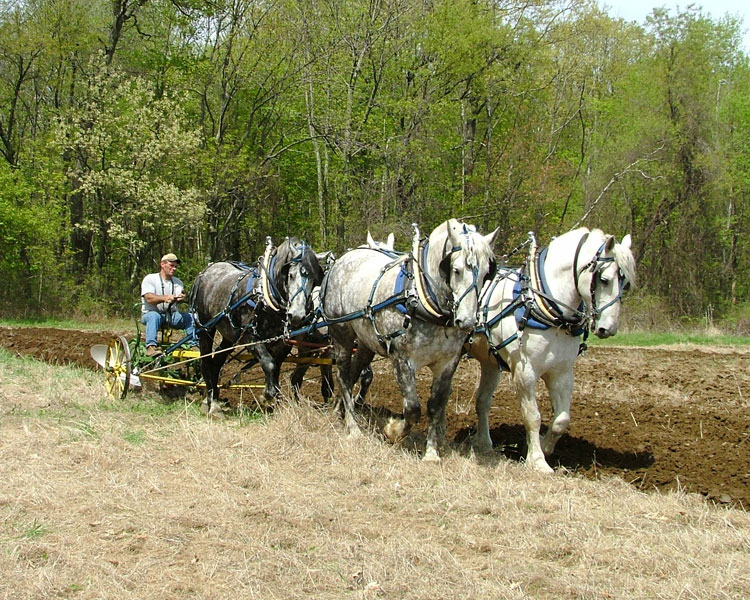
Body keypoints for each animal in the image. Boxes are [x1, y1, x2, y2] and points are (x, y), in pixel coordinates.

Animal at [189, 236, 324, 418]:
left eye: (313, 279)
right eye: (290, 275)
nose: (297, 315)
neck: (266, 298)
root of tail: (206, 271)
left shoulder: (282, 344)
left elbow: (275, 370)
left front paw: (274, 400)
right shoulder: (250, 338)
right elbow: (268, 363)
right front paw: (267, 396)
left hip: (230, 335)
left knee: (216, 362)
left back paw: (214, 400)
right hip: (204, 329)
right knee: (205, 363)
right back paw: (212, 405)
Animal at [322, 219, 500, 460]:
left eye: (485, 274)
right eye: (456, 270)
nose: (468, 321)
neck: (424, 299)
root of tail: (343, 259)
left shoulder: (447, 363)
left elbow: (435, 406)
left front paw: (432, 453)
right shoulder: (402, 360)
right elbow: (413, 408)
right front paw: (393, 431)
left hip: (366, 344)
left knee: (352, 375)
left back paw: (341, 411)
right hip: (342, 335)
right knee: (342, 376)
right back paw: (353, 428)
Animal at [470, 227, 640, 472]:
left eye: (625, 284)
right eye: (605, 279)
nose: (608, 328)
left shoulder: (562, 373)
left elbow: (562, 419)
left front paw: (542, 447)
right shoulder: (524, 372)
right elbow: (532, 416)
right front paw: (538, 461)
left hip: (490, 362)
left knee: (483, 401)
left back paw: (485, 444)